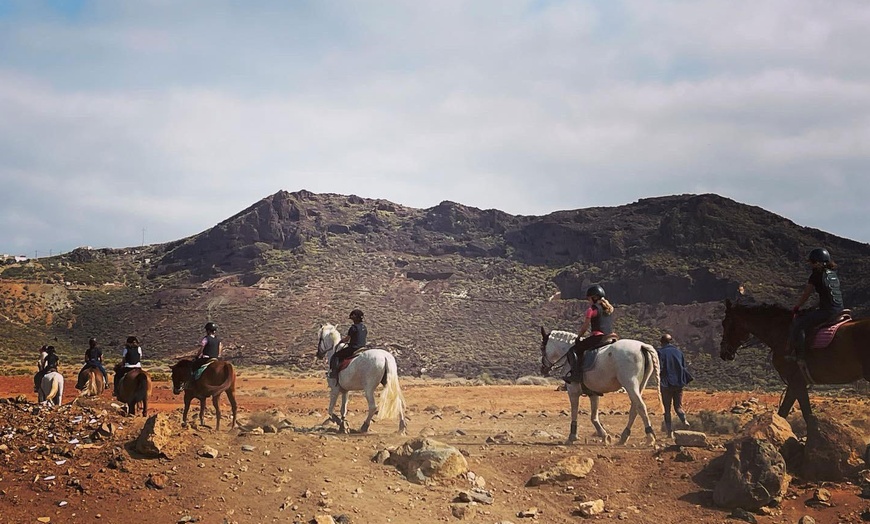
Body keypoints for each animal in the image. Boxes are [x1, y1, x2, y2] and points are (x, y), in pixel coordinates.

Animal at [724, 300, 870, 428]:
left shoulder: (796, 381)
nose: (724, 353)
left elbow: (802, 414)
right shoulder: (796, 383)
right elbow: (785, 412)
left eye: (725, 323)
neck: (783, 334)